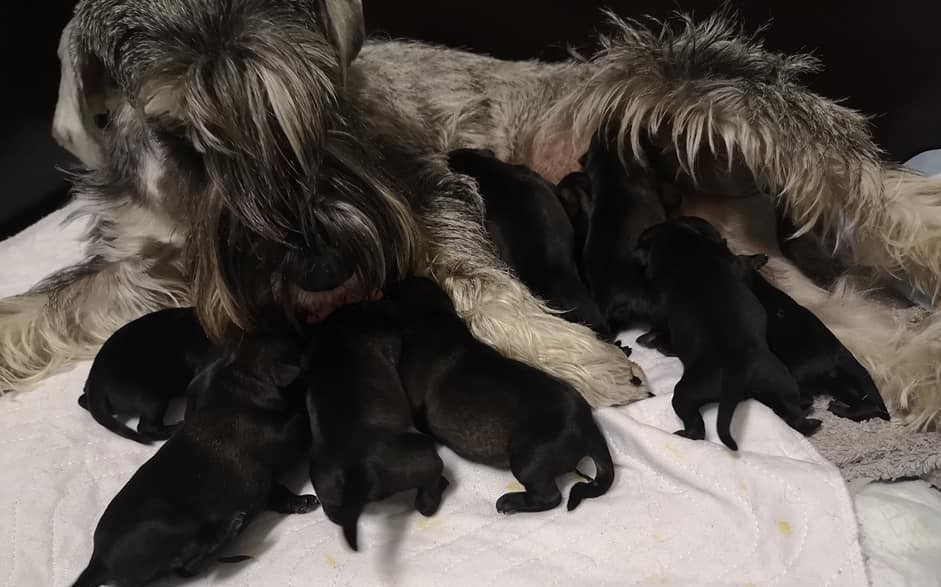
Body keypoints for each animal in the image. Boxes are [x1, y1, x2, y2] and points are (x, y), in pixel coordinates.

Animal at [70, 336, 318, 587]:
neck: (232, 395)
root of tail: (98, 562)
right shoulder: (284, 437)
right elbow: (300, 420)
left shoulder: (264, 482)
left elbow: (276, 492)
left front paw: (299, 502)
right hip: (165, 520)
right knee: (185, 559)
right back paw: (228, 527)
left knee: (184, 567)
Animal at [634, 217, 822, 450]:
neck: (686, 247)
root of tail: (738, 370)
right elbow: (742, 261)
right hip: (780, 379)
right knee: (794, 410)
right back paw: (810, 417)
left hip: (689, 391)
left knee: (695, 424)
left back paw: (685, 434)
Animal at [743, 261, 890, 422]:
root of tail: (839, 351)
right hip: (836, 381)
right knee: (868, 404)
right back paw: (840, 408)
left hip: (799, 372)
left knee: (801, 397)